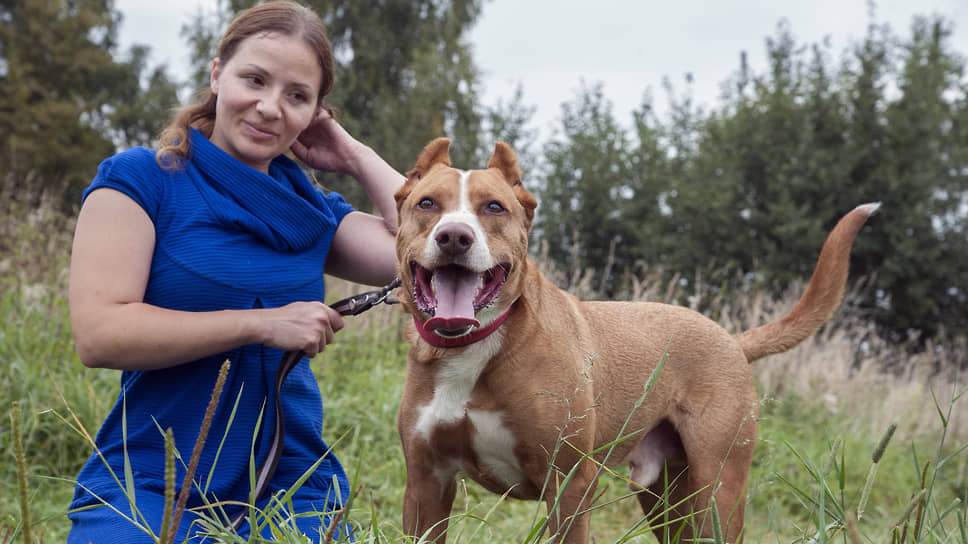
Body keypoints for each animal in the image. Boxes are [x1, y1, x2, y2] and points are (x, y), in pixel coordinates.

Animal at [392, 136, 876, 540]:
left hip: (718, 486)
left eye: (494, 208)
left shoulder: (569, 486)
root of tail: (730, 338)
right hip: (666, 497)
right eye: (427, 203)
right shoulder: (426, 484)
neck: (473, 348)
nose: (455, 236)